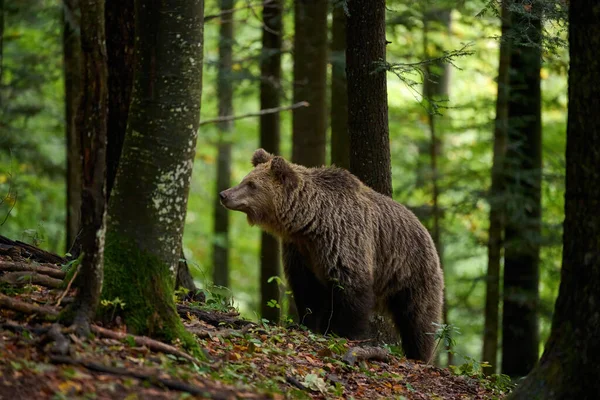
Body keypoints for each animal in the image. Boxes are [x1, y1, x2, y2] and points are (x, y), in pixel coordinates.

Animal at [220, 148, 446, 360]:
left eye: (251, 184)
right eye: (245, 179)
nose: (224, 194)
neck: (310, 223)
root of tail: (425, 231)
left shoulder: (344, 241)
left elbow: (351, 291)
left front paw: (344, 333)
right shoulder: (301, 252)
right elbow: (307, 291)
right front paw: (307, 324)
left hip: (412, 272)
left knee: (418, 318)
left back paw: (419, 354)